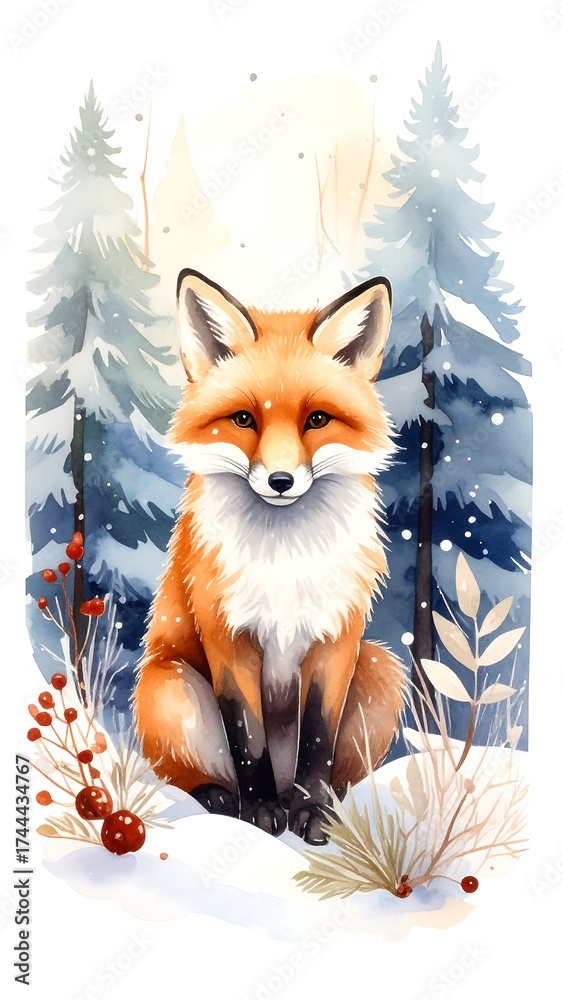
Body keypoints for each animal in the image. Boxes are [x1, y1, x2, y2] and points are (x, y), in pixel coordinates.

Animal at [133, 269, 404, 845]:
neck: (285, 559)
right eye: (243, 419)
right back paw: (223, 798)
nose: (281, 481)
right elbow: (248, 739)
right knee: (187, 777)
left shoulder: (335, 639)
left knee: (342, 773)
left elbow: (319, 742)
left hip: (380, 668)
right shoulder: (228, 636)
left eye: (317, 419)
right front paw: (260, 814)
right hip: (170, 684)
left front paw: (311, 814)